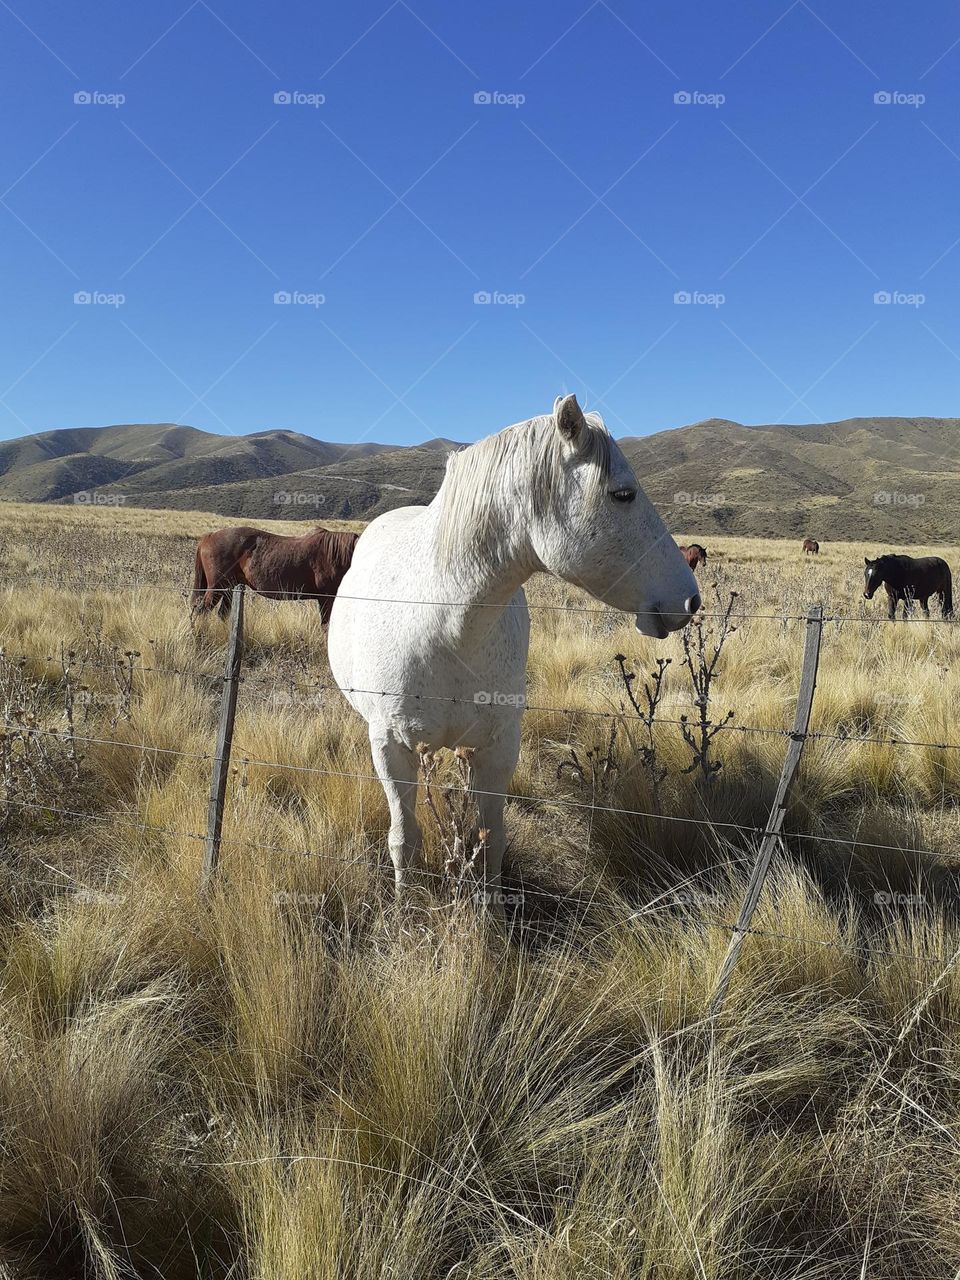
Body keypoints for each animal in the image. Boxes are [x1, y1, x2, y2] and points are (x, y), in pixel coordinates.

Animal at [330, 394, 701, 916]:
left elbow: (492, 840)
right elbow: (404, 839)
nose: (691, 600)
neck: (443, 623)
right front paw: (405, 912)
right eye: (623, 494)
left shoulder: (499, 746)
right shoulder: (390, 746)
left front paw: (493, 917)